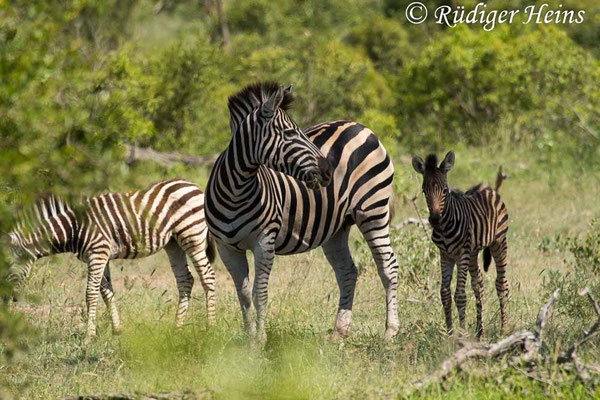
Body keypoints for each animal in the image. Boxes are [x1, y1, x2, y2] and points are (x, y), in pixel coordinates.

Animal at [6, 180, 216, 342]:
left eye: (7, 266)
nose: (7, 299)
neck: (74, 227)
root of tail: (192, 185)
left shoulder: (98, 253)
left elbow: (90, 292)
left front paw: (89, 336)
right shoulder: (100, 256)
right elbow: (106, 292)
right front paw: (117, 330)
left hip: (192, 236)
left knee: (208, 276)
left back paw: (210, 327)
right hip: (173, 243)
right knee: (186, 280)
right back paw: (177, 328)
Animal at [205, 80, 398, 340]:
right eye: (289, 134)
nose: (328, 170)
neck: (236, 190)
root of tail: (359, 126)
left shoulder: (264, 241)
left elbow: (259, 293)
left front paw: (260, 340)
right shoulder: (226, 247)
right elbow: (243, 294)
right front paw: (248, 338)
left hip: (373, 210)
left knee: (388, 267)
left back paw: (390, 332)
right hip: (337, 226)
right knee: (347, 272)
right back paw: (339, 333)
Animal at [412, 152, 510, 336]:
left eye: (445, 190)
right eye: (424, 191)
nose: (434, 219)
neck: (444, 228)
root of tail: (488, 188)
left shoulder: (461, 254)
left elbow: (460, 294)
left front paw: (462, 332)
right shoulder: (445, 255)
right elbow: (444, 293)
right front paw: (450, 333)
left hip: (499, 242)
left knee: (501, 284)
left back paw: (504, 329)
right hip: (472, 253)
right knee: (478, 284)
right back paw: (480, 331)